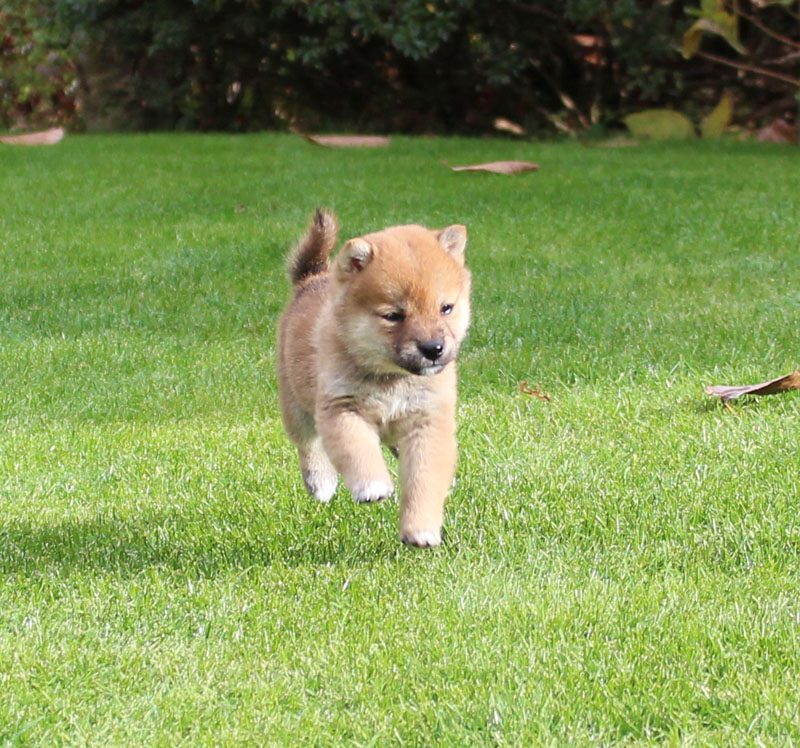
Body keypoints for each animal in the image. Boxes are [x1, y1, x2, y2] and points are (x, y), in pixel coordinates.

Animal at [280, 207, 472, 548]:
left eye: (446, 308)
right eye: (394, 316)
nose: (433, 349)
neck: (391, 379)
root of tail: (311, 280)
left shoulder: (428, 420)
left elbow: (424, 478)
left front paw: (421, 528)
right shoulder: (341, 408)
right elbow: (357, 449)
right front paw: (372, 486)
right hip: (296, 405)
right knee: (308, 445)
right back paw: (320, 481)